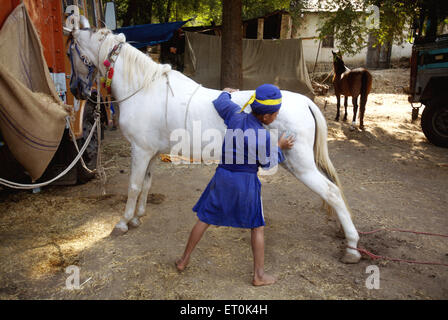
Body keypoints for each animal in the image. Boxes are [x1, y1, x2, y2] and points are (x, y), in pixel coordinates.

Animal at [65, 21, 360, 264]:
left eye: (70, 54)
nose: (77, 91)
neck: (144, 88)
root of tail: (306, 101)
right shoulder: (151, 153)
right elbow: (146, 185)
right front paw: (137, 217)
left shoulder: (140, 150)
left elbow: (135, 186)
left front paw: (124, 222)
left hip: (301, 165)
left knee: (332, 192)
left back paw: (352, 247)